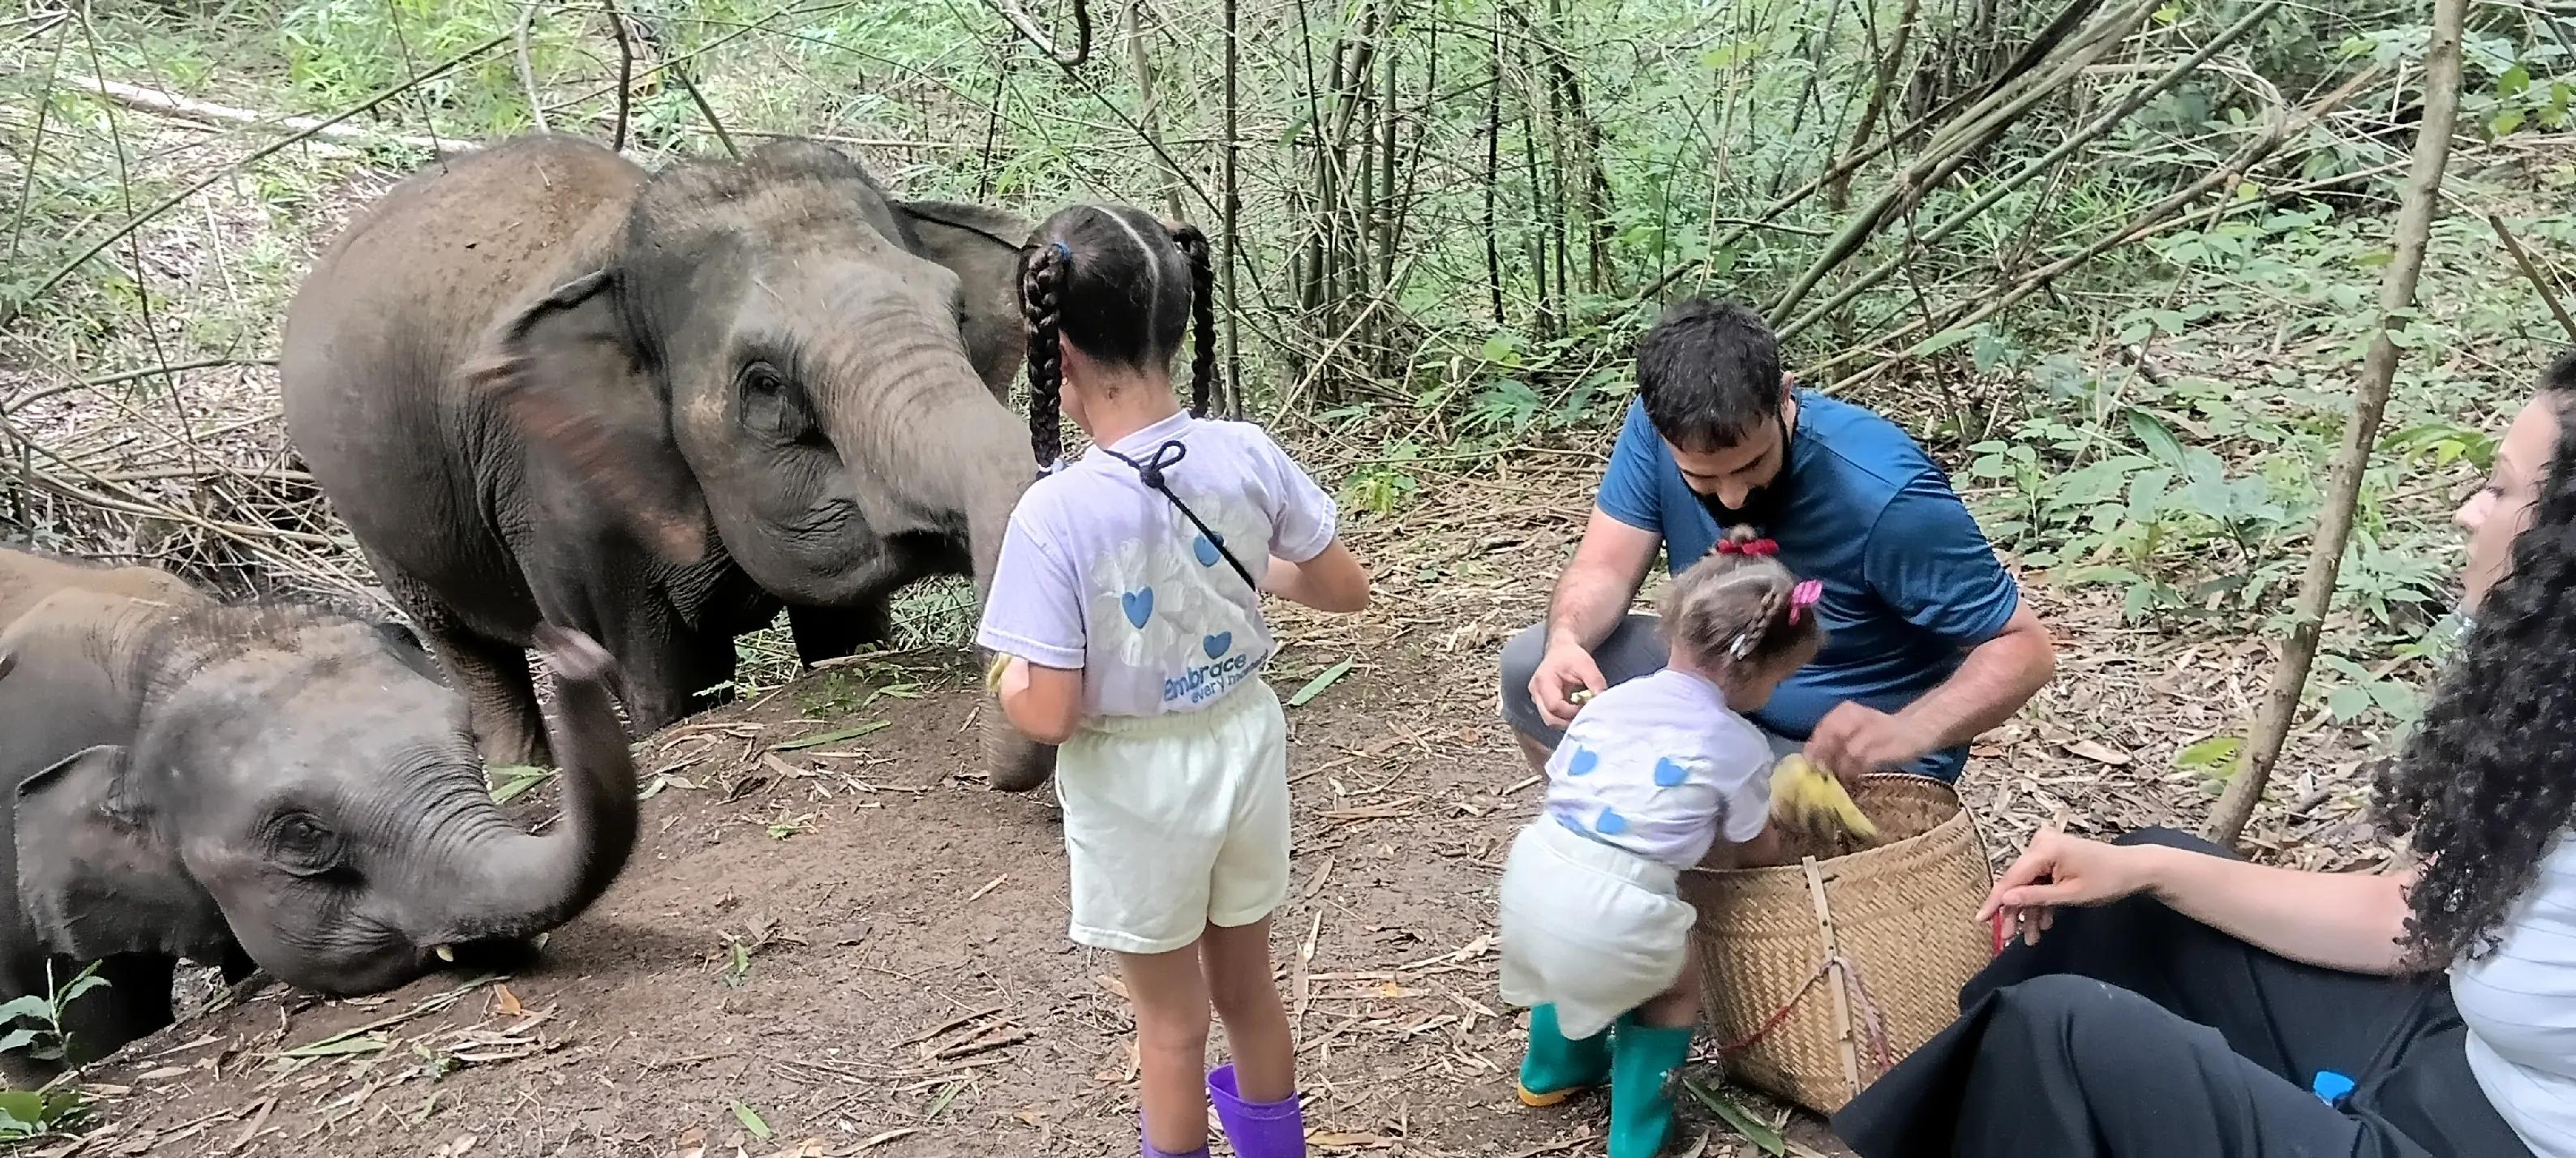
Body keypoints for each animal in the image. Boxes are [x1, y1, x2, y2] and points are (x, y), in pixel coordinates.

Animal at [280, 133, 1058, 790]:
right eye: (766, 385)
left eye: (959, 316)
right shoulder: (556, 499)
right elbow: (655, 681)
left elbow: (846, 632)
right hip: (383, 531)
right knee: (469, 653)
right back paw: (519, 778)